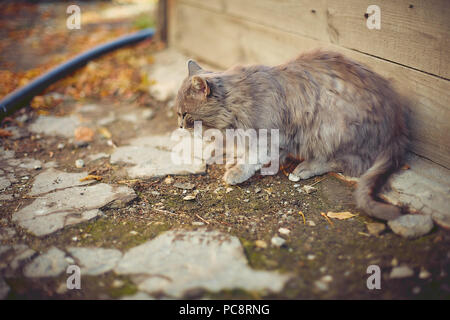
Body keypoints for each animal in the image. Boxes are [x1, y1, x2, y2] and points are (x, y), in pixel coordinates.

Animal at [174, 50, 410, 221]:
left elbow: (252, 157)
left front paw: (237, 172)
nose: (179, 125)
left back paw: (303, 169)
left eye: (184, 114)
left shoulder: (267, 134)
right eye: (178, 113)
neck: (237, 103)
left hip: (329, 126)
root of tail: (397, 129)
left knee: (345, 163)